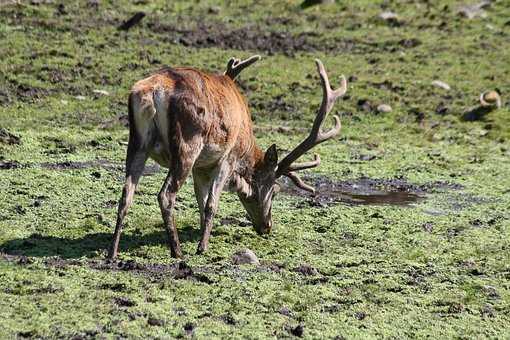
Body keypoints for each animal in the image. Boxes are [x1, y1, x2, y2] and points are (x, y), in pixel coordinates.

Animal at [107, 55, 346, 258]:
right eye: (275, 191)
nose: (267, 226)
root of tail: (154, 91)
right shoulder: (227, 159)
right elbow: (211, 203)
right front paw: (202, 247)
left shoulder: (201, 167)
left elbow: (201, 200)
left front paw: (202, 233)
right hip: (187, 145)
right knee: (165, 194)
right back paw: (177, 251)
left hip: (137, 141)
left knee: (126, 194)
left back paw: (113, 251)